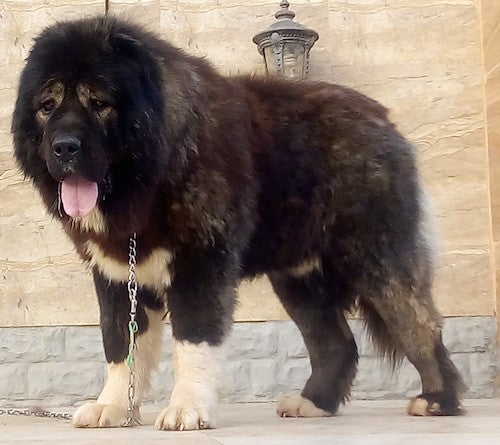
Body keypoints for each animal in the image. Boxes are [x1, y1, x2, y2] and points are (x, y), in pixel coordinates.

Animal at [11, 15, 464, 428]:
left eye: (99, 103)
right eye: (47, 107)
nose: (64, 147)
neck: (153, 173)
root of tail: (383, 121)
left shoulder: (199, 263)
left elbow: (193, 340)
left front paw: (187, 409)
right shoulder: (117, 272)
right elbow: (119, 344)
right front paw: (114, 407)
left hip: (377, 258)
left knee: (420, 323)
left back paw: (438, 400)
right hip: (300, 277)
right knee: (336, 343)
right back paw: (313, 404)